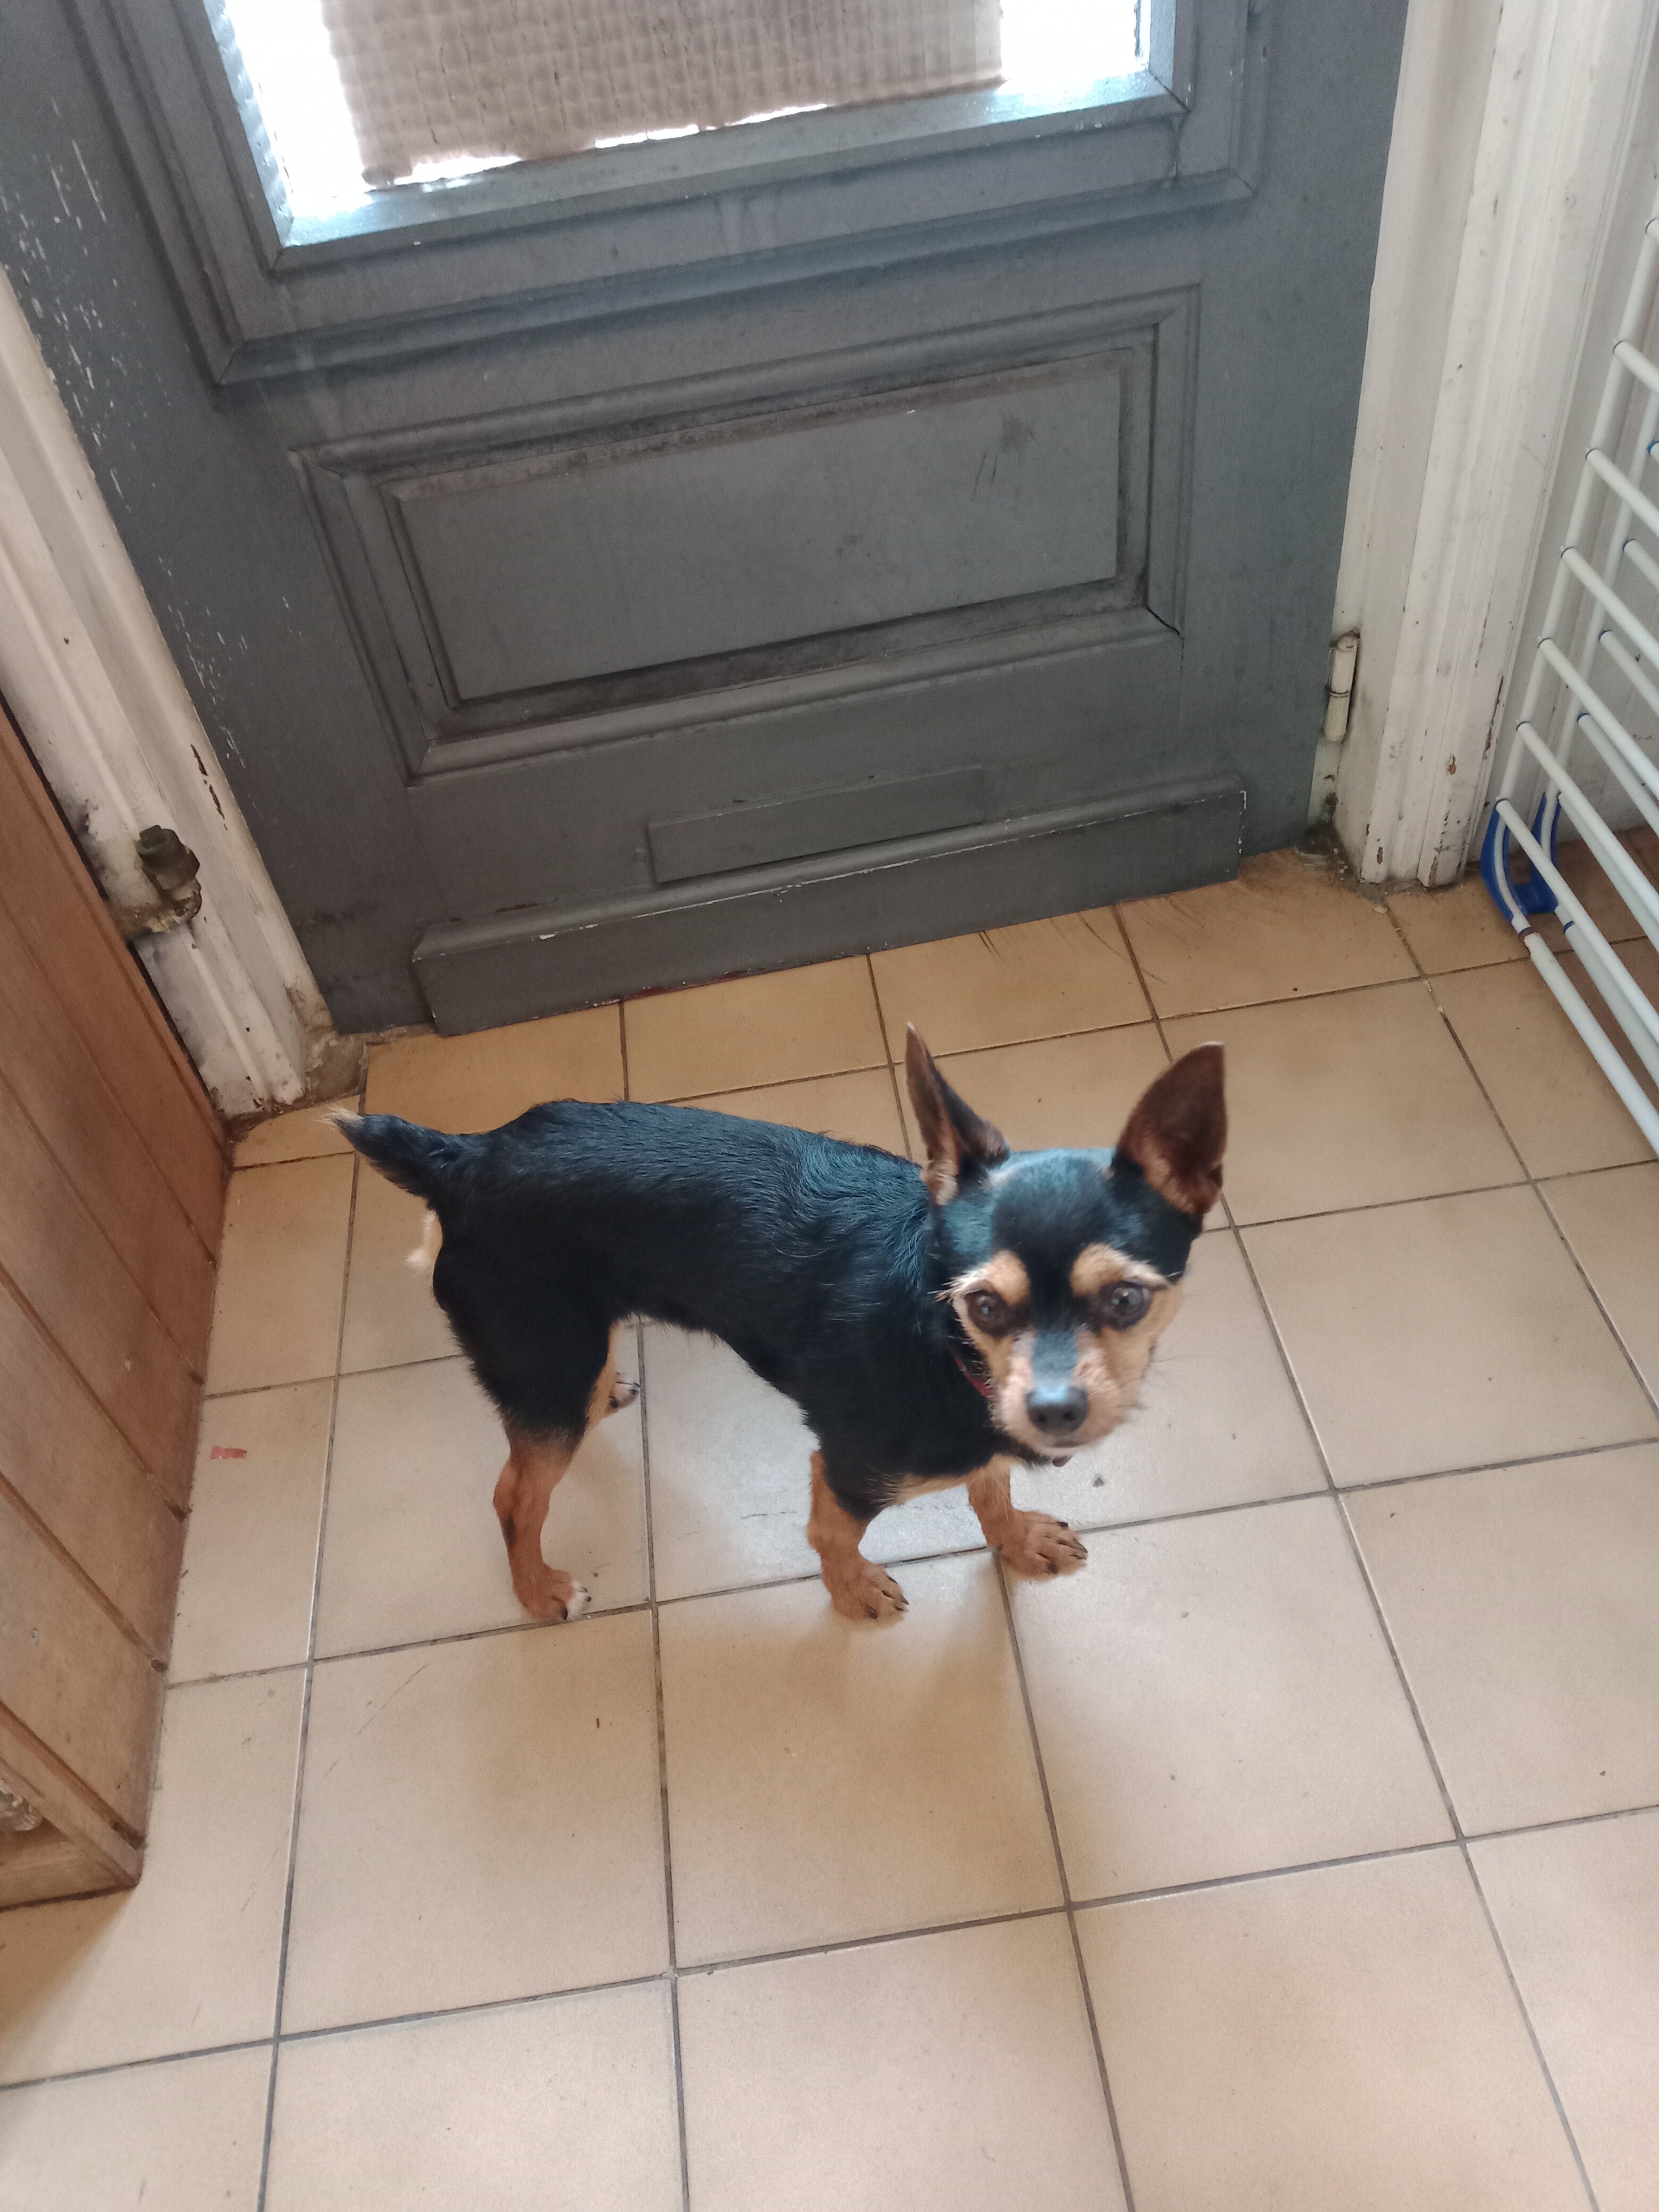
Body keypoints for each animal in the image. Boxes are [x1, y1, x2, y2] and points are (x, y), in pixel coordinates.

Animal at [338, 1029, 1225, 1623]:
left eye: (1126, 1300)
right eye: (985, 1307)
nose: (1054, 1412)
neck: (942, 1344)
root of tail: (465, 1157)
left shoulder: (982, 1438)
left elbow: (991, 1486)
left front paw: (1013, 1537)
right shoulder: (847, 1470)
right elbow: (831, 1539)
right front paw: (854, 1590)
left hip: (564, 1365)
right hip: (546, 1370)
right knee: (513, 1494)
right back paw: (537, 1589)